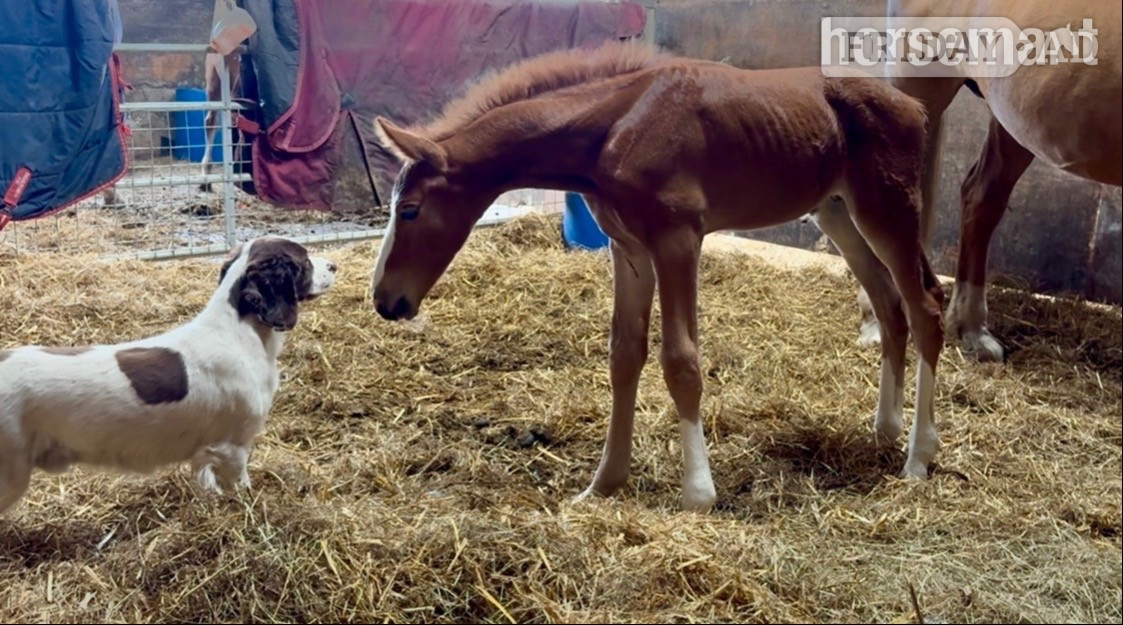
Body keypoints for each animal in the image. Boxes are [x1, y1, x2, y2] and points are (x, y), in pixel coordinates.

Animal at [369, 40, 945, 512]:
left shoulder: (678, 241)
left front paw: (697, 494)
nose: (384, 300)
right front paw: (603, 483)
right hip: (838, 213)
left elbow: (681, 361)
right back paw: (886, 430)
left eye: (411, 209)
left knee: (925, 307)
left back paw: (918, 458)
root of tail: (912, 106)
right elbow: (625, 355)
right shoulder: (630, 250)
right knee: (889, 304)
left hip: (888, 209)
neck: (614, 126)